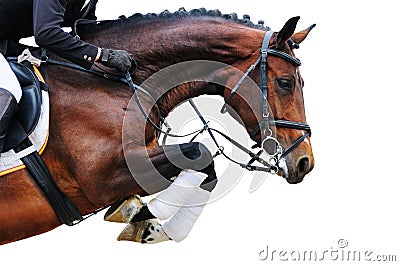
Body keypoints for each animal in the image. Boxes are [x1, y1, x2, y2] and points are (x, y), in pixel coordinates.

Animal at [0, 9, 314, 244]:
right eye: (285, 83)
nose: (305, 162)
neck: (104, 80)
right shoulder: (99, 178)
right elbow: (200, 152)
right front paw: (140, 216)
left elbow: (203, 167)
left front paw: (148, 225)